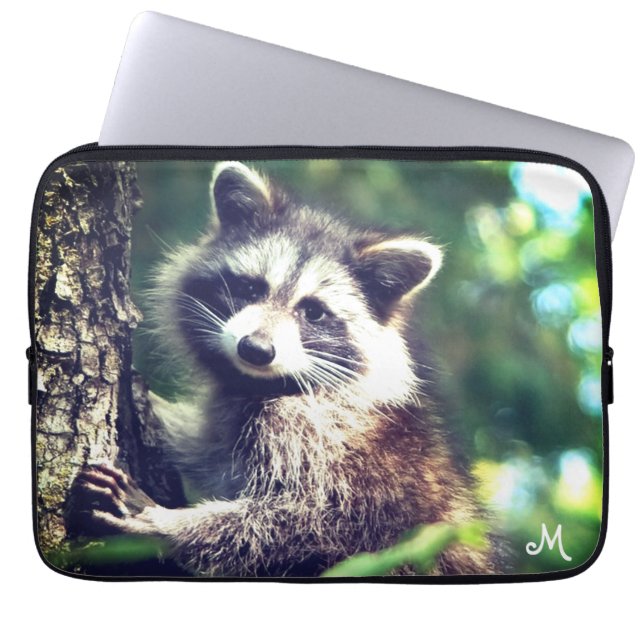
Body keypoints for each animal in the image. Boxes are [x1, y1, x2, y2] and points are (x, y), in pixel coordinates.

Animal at [74, 162, 501, 577]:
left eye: (313, 312)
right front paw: (156, 408)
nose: (256, 350)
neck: (262, 384)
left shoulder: (331, 446)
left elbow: (309, 520)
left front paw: (165, 525)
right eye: (250, 289)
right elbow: (207, 449)